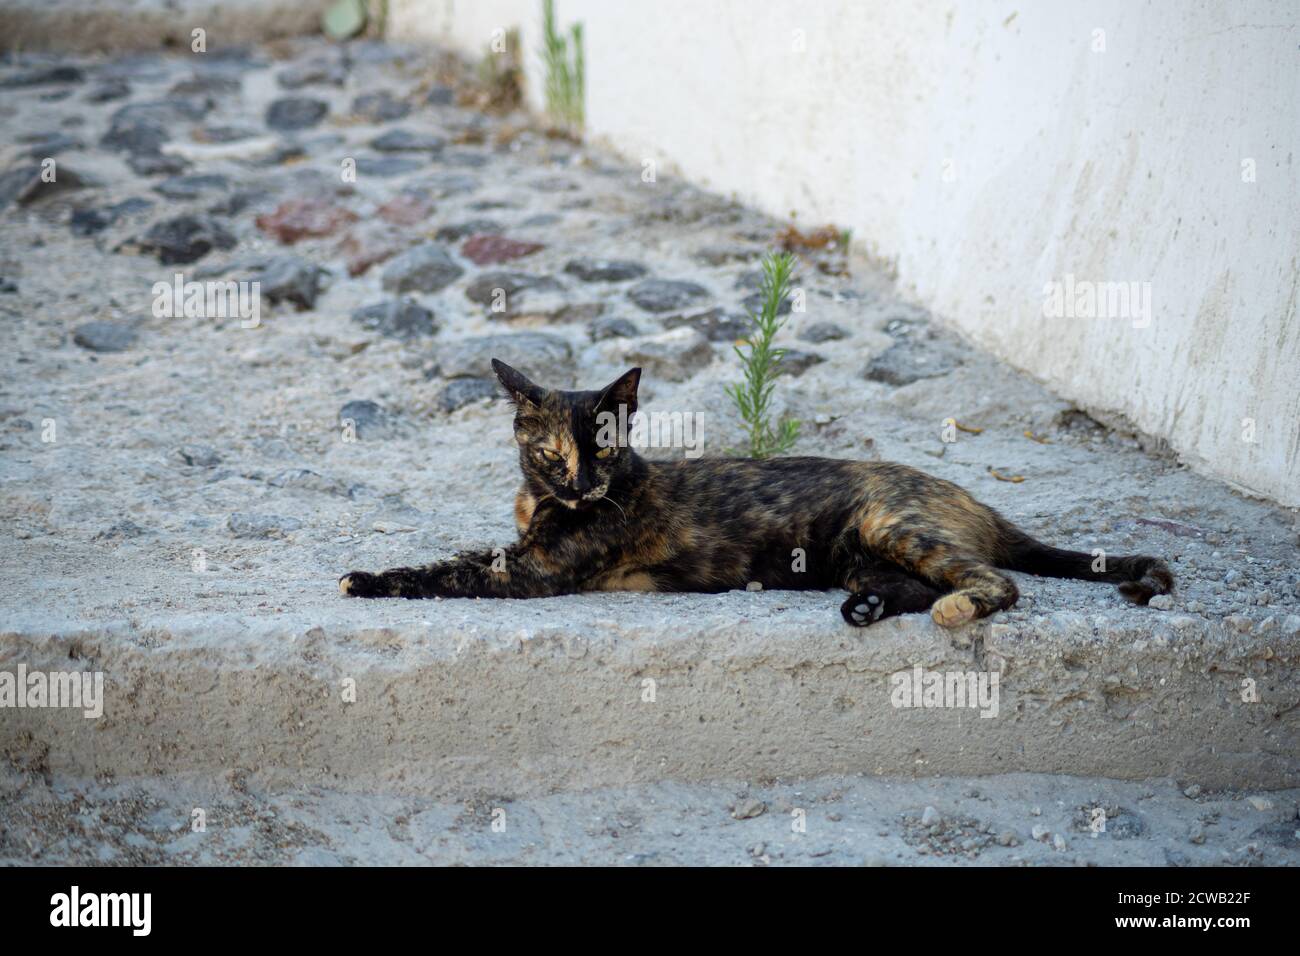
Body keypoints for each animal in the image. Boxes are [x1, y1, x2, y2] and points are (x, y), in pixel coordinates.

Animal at [340, 361, 1175, 629]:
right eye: (550, 453)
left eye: (602, 447)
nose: (580, 485)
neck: (547, 505)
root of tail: (970, 496)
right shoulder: (525, 545)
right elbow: (461, 553)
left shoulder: (535, 570)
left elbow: (447, 571)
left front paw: (368, 579)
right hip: (857, 552)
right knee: (906, 585)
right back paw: (868, 608)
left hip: (894, 525)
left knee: (994, 581)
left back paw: (956, 607)